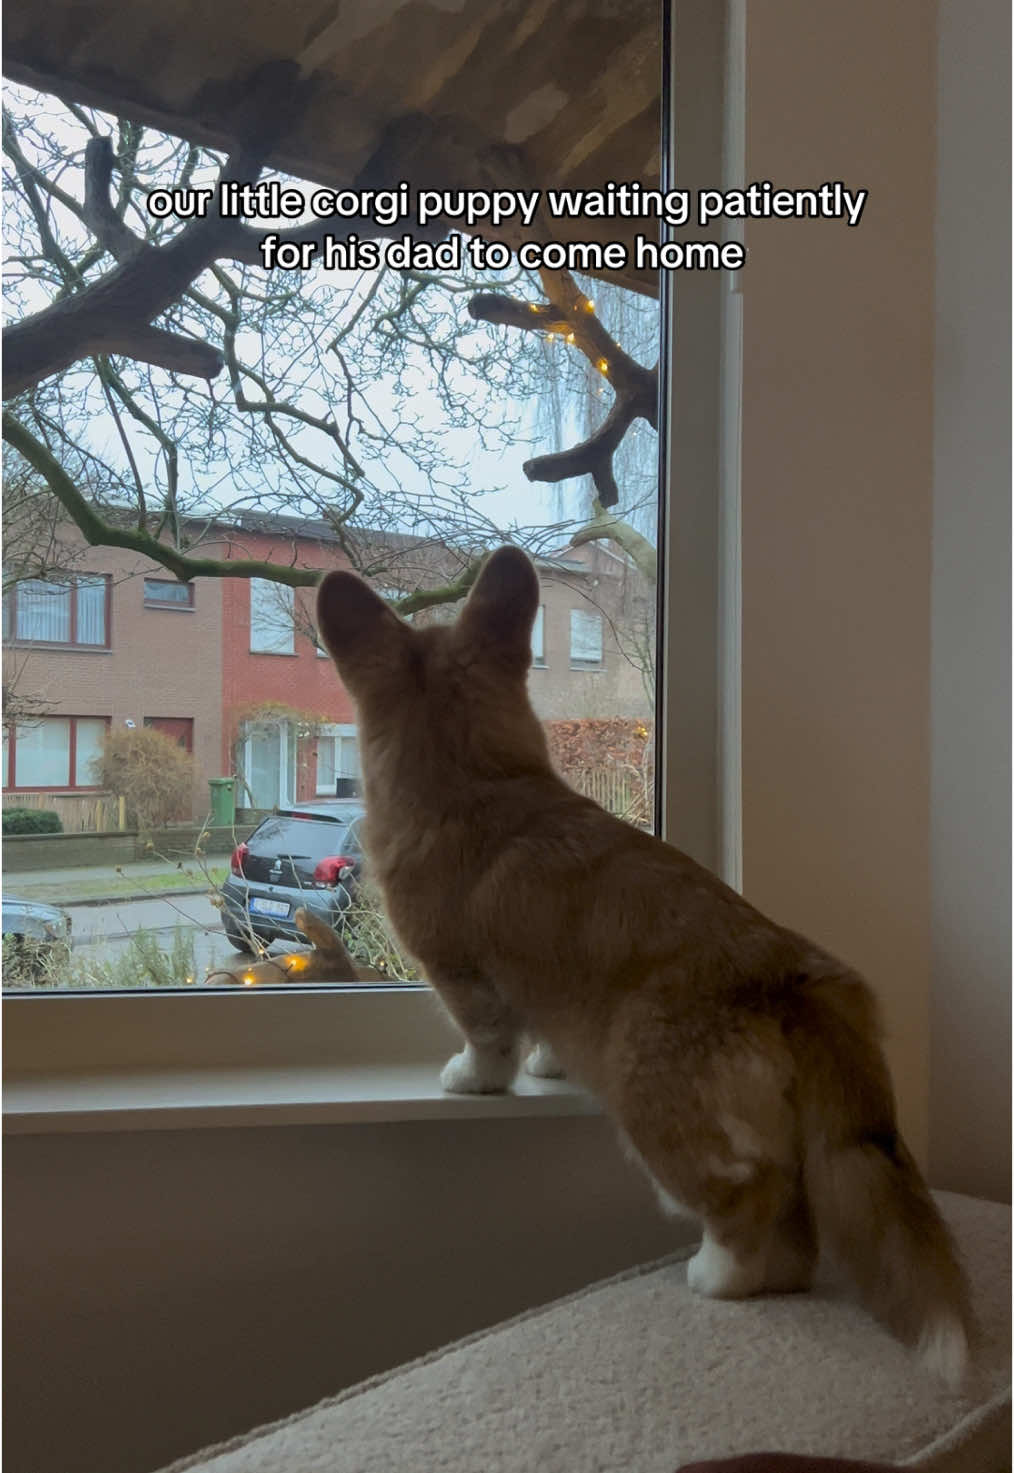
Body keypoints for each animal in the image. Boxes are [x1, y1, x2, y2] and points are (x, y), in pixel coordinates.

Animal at [316, 547, 972, 1384]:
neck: (478, 776)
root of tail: (796, 976)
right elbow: (543, 1034)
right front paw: (550, 1065)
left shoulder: (464, 974)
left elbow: (488, 1040)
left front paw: (470, 1078)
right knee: (796, 1234)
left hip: (652, 1104)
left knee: (747, 1197)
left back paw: (717, 1276)